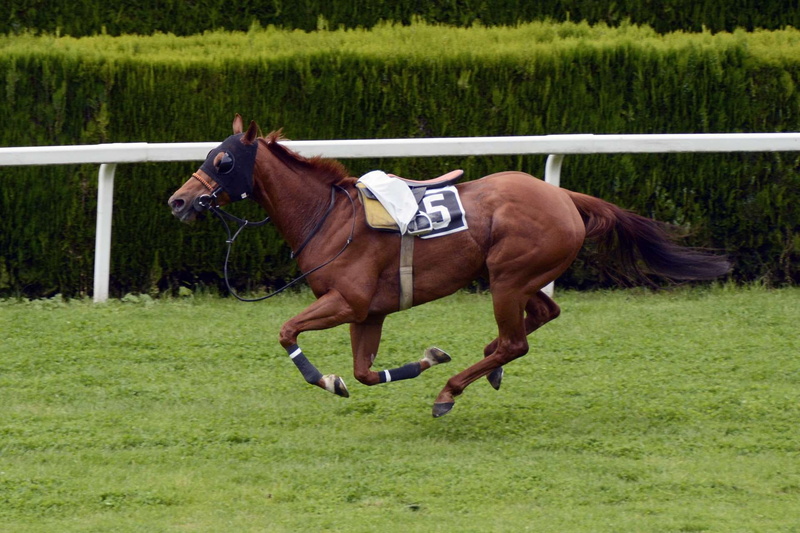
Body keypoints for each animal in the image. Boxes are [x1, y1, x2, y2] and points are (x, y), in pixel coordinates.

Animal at [168, 115, 730, 417]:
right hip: (517, 276)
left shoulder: (346, 300)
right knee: (541, 317)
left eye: (223, 161)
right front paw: (423, 359)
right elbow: (365, 372)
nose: (178, 201)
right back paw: (485, 367)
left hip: (508, 277)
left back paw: (451, 391)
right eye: (209, 153)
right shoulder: (369, 312)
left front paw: (326, 379)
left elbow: (288, 332)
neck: (330, 217)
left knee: (516, 341)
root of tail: (563, 195)